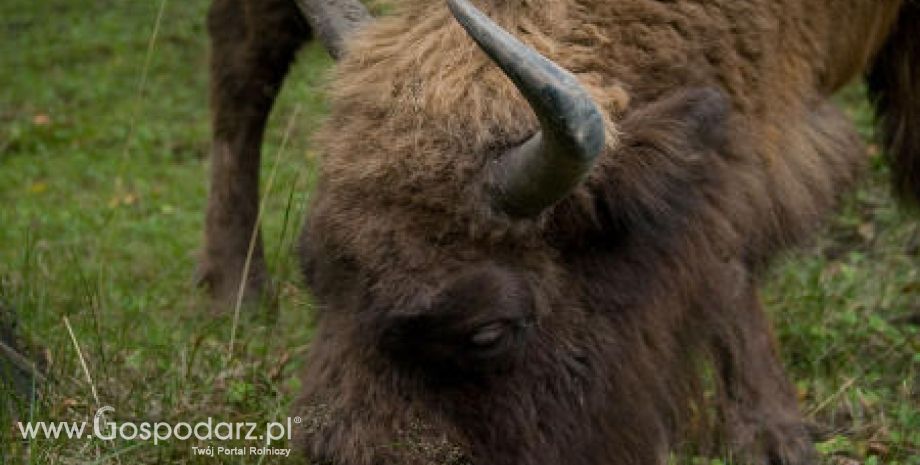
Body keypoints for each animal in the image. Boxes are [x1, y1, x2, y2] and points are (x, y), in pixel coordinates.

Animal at [201, 0, 920, 462]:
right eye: (317, 278)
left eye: (486, 332)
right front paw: (773, 435)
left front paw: (774, 438)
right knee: (242, 72)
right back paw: (232, 294)